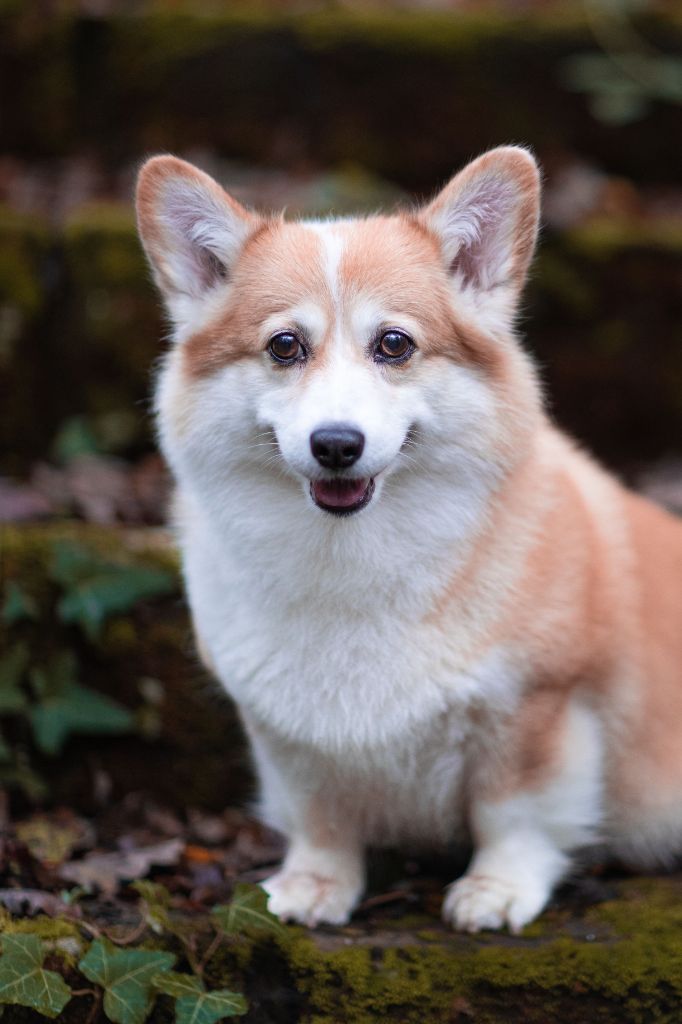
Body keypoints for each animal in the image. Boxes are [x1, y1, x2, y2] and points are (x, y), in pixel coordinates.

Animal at [135, 148, 679, 933]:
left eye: (393, 345)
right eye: (284, 346)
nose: (336, 445)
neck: (351, 563)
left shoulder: (538, 708)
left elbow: (514, 815)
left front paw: (496, 891)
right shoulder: (288, 737)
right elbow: (321, 816)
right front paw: (315, 887)